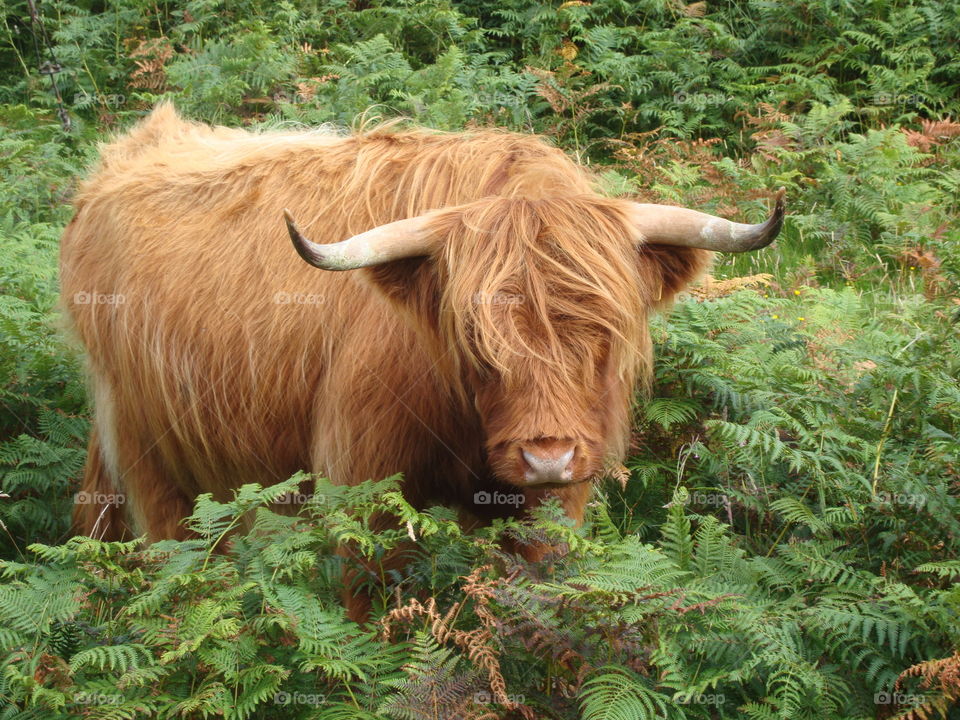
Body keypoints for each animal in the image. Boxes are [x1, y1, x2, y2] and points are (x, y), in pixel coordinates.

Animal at [61, 103, 783, 619]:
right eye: (476, 342)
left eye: (603, 333)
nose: (547, 457)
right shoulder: (361, 485)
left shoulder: (553, 507)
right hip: (144, 446)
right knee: (173, 553)